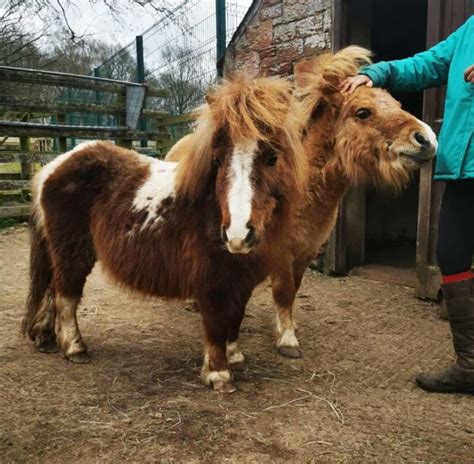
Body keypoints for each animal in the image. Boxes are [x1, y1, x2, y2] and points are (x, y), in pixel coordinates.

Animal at [24, 78, 308, 394]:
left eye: (272, 158)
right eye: (217, 160)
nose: (237, 234)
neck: (210, 209)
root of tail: (53, 166)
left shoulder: (241, 280)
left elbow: (234, 319)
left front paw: (235, 357)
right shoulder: (210, 281)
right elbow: (215, 324)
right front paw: (218, 374)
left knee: (53, 290)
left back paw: (48, 339)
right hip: (72, 252)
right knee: (66, 295)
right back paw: (75, 348)